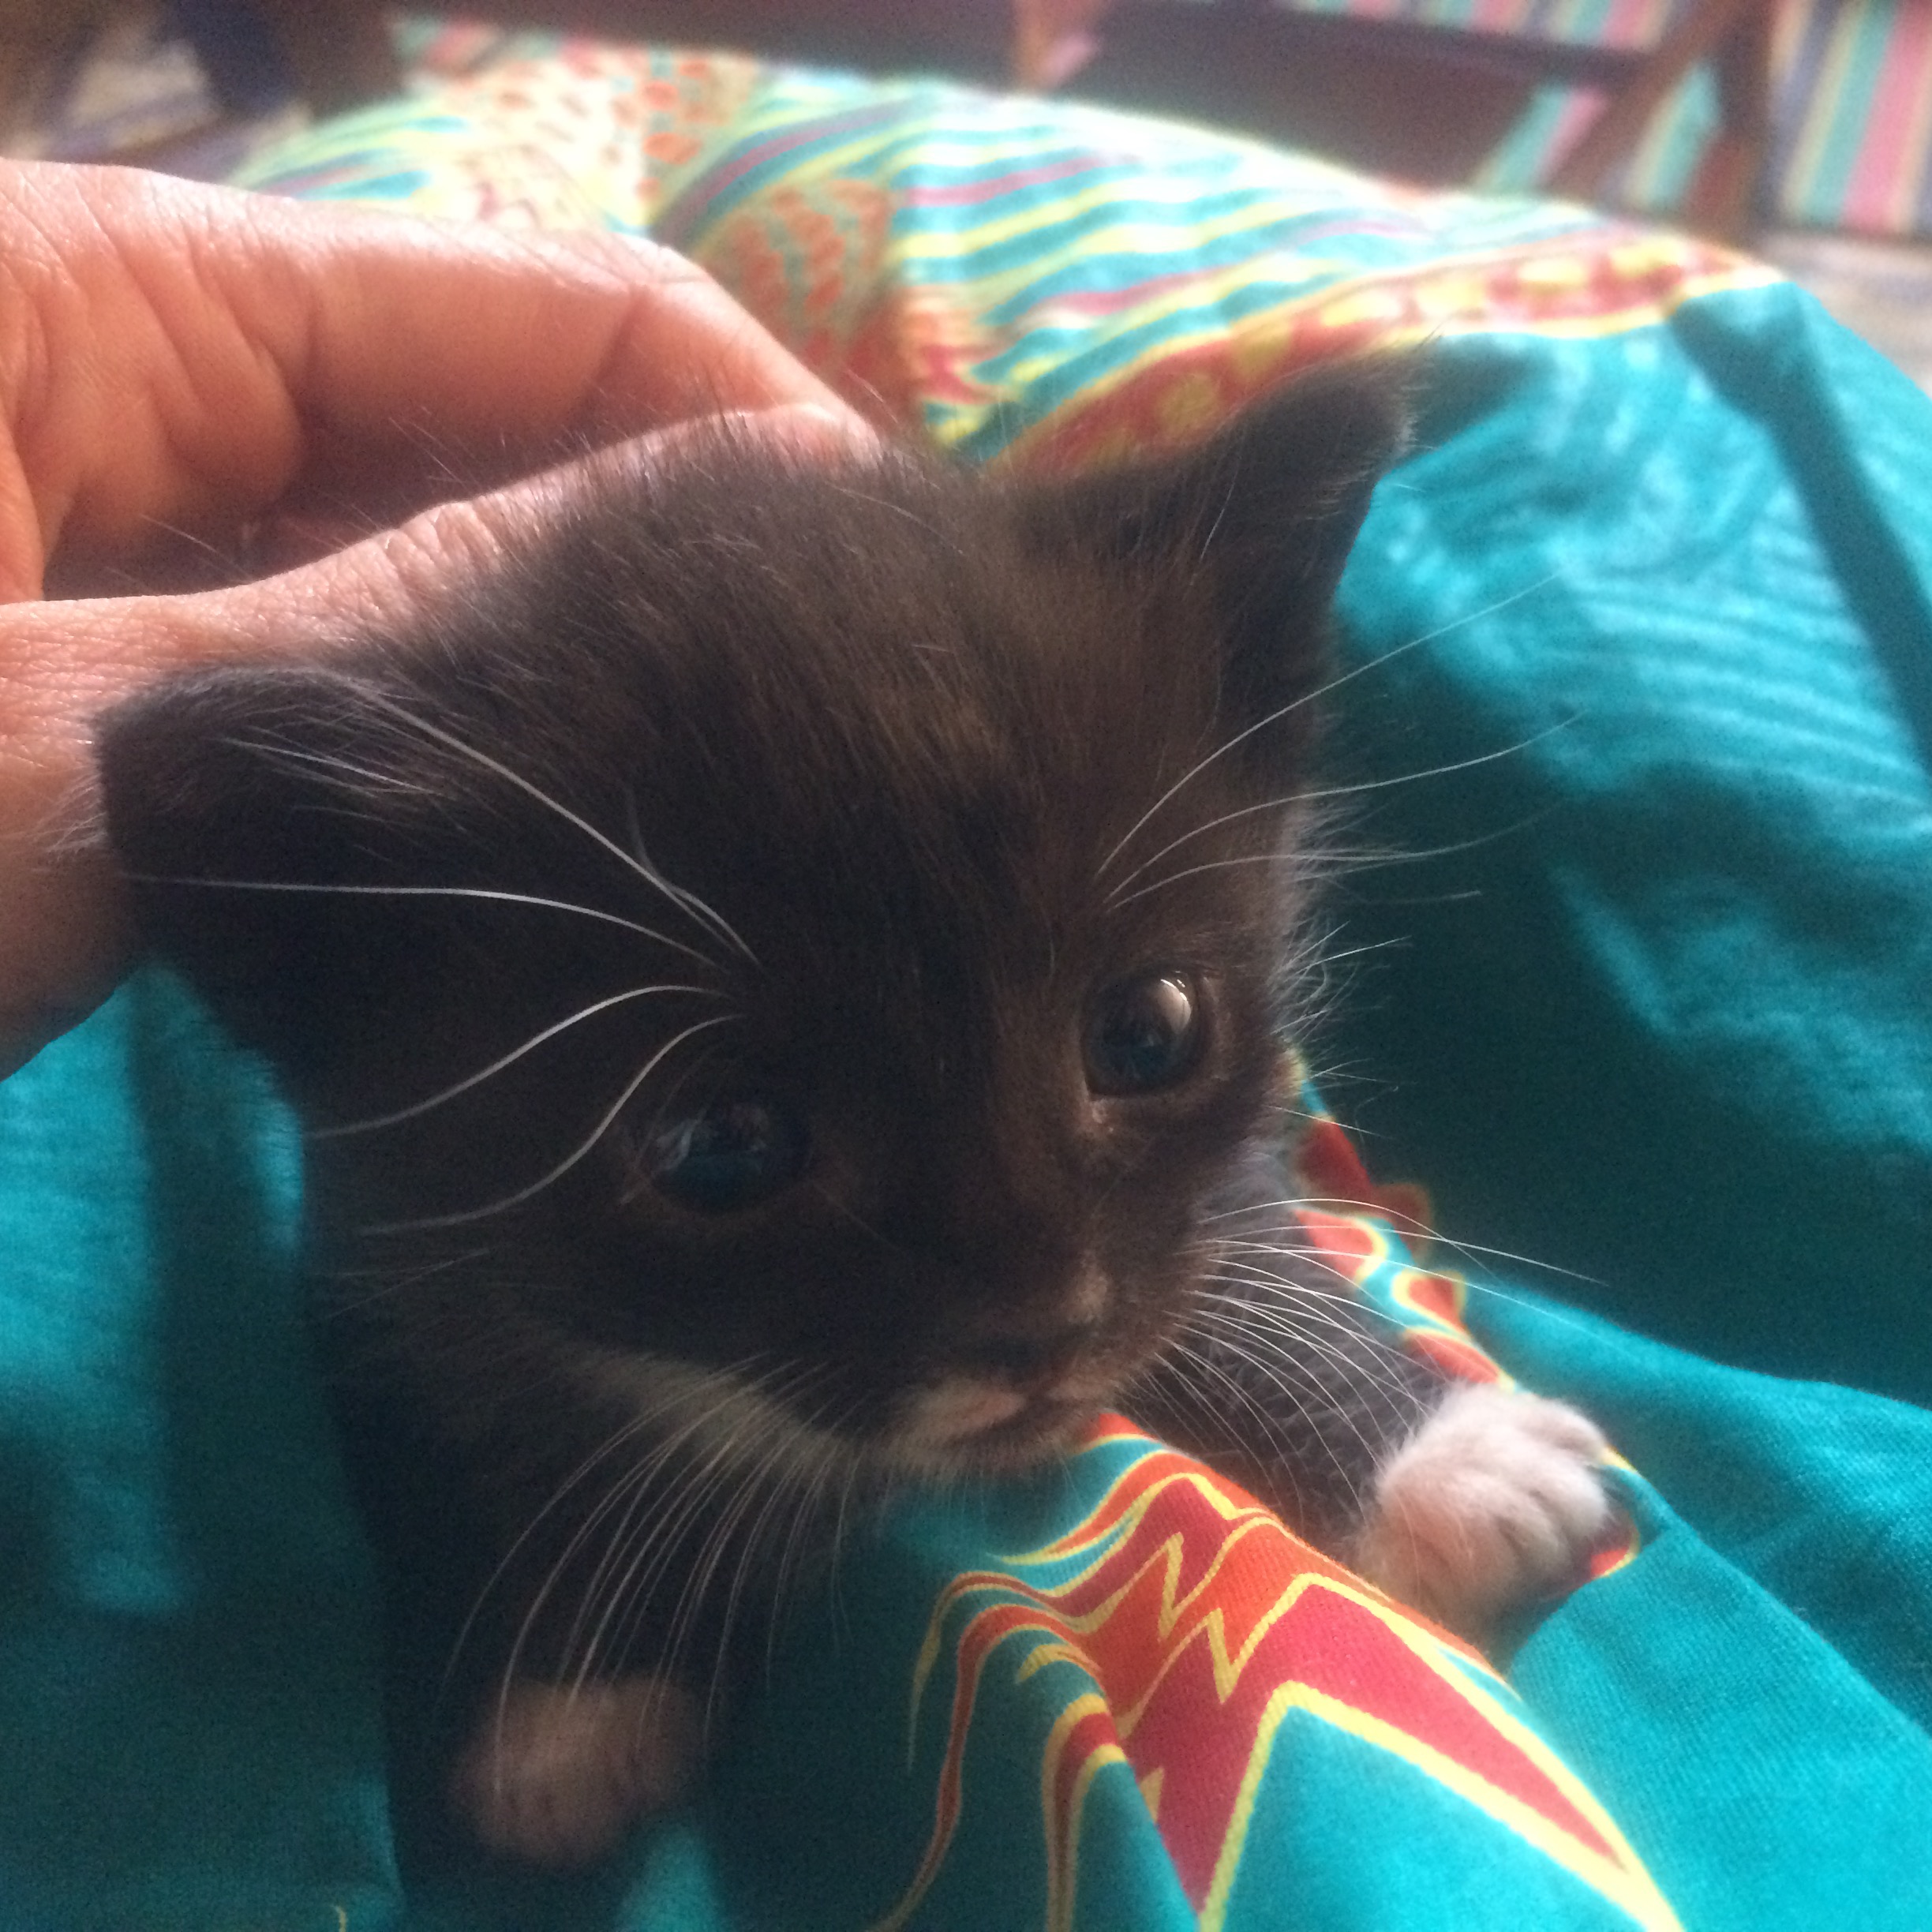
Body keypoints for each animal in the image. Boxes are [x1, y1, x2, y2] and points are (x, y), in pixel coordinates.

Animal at [95, 361, 1609, 1868]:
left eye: (1144, 1032)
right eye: (722, 1146)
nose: (1040, 1331)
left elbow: (1237, 1243)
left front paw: (1440, 1458)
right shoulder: (384, 1245)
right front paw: (577, 1686)